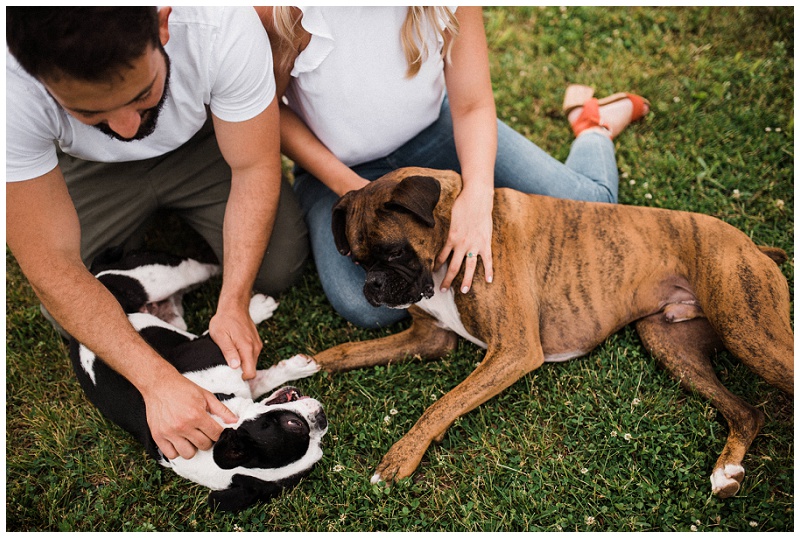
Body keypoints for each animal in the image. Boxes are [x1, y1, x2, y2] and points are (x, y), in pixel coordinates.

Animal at [69, 249, 324, 508]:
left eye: (320, 451)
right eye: (294, 425)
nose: (322, 418)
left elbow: (263, 379)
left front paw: (297, 368)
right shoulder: (209, 349)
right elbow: (222, 334)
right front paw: (256, 314)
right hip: (161, 277)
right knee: (199, 270)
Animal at [304, 165, 788, 496]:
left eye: (395, 252)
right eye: (358, 261)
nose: (372, 286)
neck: (454, 235)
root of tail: (751, 243)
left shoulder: (514, 350)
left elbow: (442, 403)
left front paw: (400, 457)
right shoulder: (429, 339)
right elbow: (345, 351)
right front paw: (296, 366)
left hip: (747, 331)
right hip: (671, 345)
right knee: (748, 413)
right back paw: (725, 472)